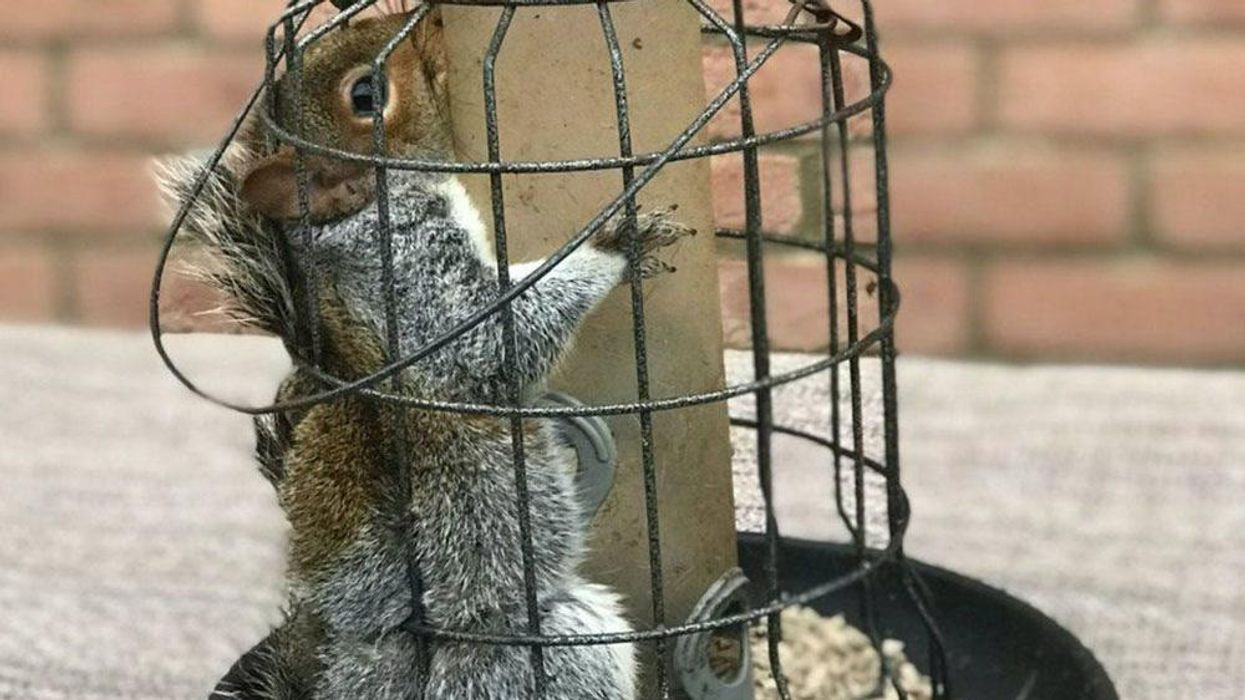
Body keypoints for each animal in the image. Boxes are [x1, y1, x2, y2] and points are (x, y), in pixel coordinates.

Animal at [159, 7, 693, 699]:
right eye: (366, 96)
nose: (433, 16)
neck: (358, 217)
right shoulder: (413, 284)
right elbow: (497, 338)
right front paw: (614, 243)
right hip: (534, 658)